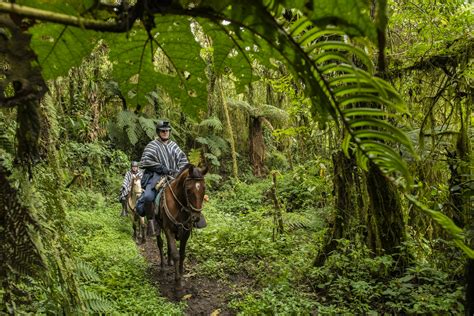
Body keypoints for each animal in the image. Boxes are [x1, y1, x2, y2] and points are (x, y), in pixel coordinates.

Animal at [154, 164, 207, 296]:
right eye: (188, 190)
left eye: (204, 189)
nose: (195, 217)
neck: (179, 206)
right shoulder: (168, 229)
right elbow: (176, 255)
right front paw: (178, 286)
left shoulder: (186, 231)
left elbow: (182, 254)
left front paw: (182, 278)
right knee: (160, 244)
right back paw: (163, 268)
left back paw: (169, 263)